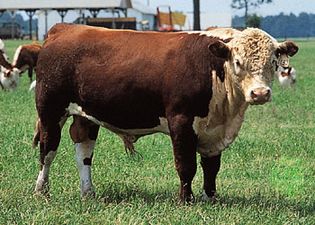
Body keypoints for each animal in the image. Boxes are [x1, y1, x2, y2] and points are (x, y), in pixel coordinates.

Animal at [33, 23, 300, 203]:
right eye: (237, 62)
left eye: (273, 62)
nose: (260, 93)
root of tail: (63, 28)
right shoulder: (181, 120)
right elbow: (186, 165)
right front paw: (186, 200)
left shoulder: (214, 129)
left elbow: (211, 166)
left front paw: (211, 198)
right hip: (50, 111)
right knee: (47, 151)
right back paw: (41, 191)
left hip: (86, 116)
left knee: (83, 152)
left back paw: (88, 193)